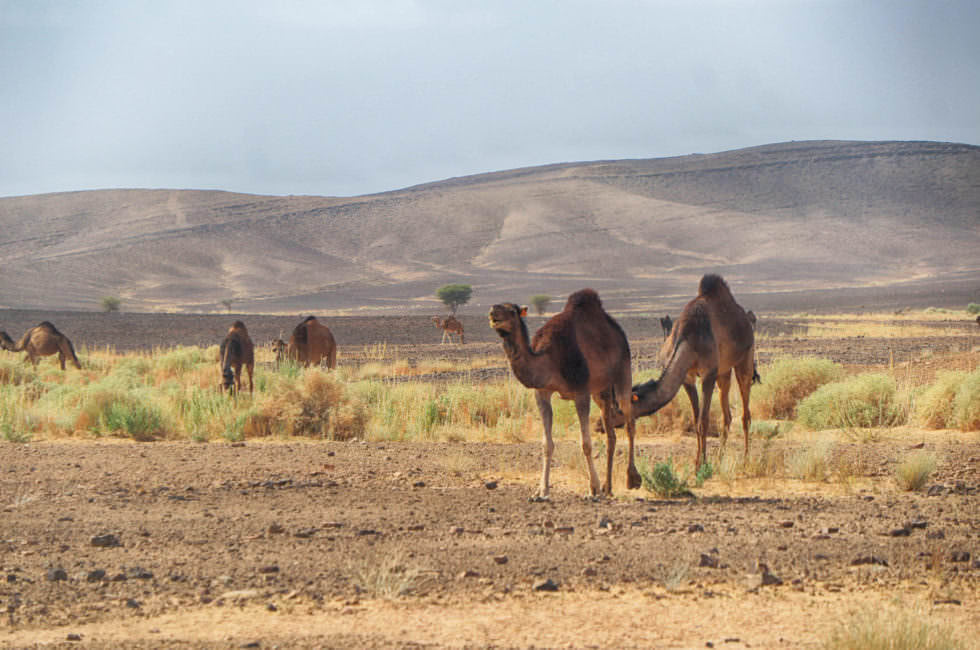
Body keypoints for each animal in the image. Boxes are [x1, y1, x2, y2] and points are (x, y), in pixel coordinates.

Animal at [490, 288, 644, 496]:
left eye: (512, 311)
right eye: (496, 308)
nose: (493, 313)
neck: (550, 358)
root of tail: (617, 330)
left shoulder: (581, 391)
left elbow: (586, 443)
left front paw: (593, 488)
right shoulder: (542, 392)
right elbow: (547, 444)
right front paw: (542, 491)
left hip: (623, 370)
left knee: (630, 422)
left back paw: (632, 479)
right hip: (601, 390)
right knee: (611, 435)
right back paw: (608, 488)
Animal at [604, 272, 756, 466]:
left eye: (617, 409)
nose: (599, 425)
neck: (688, 340)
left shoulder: (708, 374)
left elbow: (703, 421)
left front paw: (701, 465)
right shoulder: (688, 378)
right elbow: (696, 419)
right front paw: (699, 461)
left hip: (745, 357)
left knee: (745, 412)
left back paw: (745, 459)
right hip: (724, 371)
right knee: (727, 415)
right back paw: (720, 457)